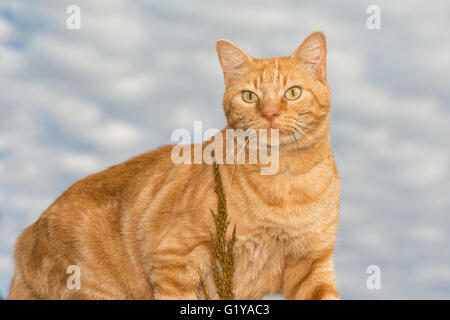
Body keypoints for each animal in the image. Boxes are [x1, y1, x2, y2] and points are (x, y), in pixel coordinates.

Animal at [8, 31, 340, 298]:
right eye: (249, 96)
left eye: (292, 92)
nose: (269, 114)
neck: (285, 181)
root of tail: (26, 234)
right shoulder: (174, 260)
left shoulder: (312, 264)